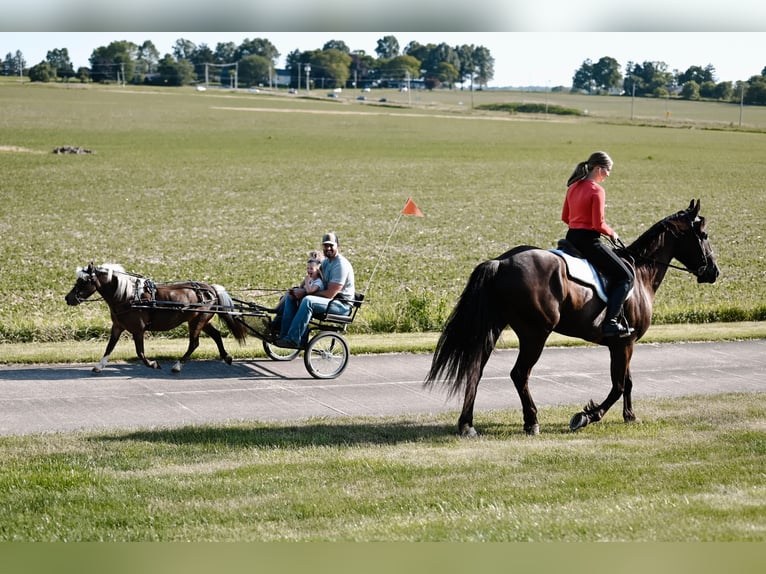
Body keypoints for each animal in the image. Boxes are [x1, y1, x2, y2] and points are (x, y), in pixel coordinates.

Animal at [66, 264, 248, 376]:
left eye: (83, 281)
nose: (68, 298)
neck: (128, 296)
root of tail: (210, 289)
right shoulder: (117, 326)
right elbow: (109, 347)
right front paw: (99, 366)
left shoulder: (138, 330)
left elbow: (140, 353)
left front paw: (154, 364)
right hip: (200, 321)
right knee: (216, 335)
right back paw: (226, 357)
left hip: (198, 322)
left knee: (194, 343)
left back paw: (177, 366)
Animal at [426, 200, 720, 438]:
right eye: (703, 234)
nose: (714, 271)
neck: (640, 272)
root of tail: (501, 262)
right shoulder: (625, 343)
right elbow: (618, 385)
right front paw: (587, 416)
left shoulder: (624, 342)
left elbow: (627, 381)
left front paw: (630, 416)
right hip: (535, 333)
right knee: (519, 374)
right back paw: (531, 421)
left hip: (494, 329)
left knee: (475, 370)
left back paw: (467, 425)